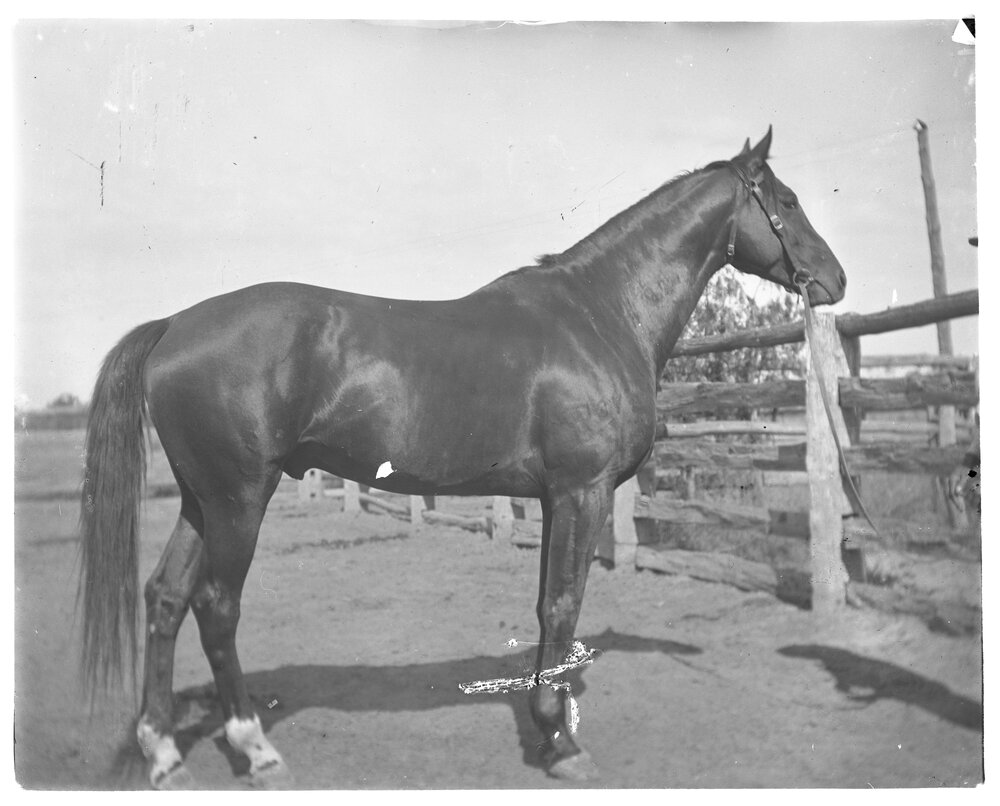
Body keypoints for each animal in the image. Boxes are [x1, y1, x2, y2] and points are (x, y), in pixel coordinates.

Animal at [79, 127, 846, 788]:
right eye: (784, 201)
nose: (834, 280)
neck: (600, 313)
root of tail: (174, 326)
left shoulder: (552, 497)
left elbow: (544, 604)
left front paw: (546, 728)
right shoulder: (584, 490)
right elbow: (564, 604)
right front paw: (560, 742)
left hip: (201, 501)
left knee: (165, 599)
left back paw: (162, 752)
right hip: (239, 499)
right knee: (216, 607)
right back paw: (255, 749)